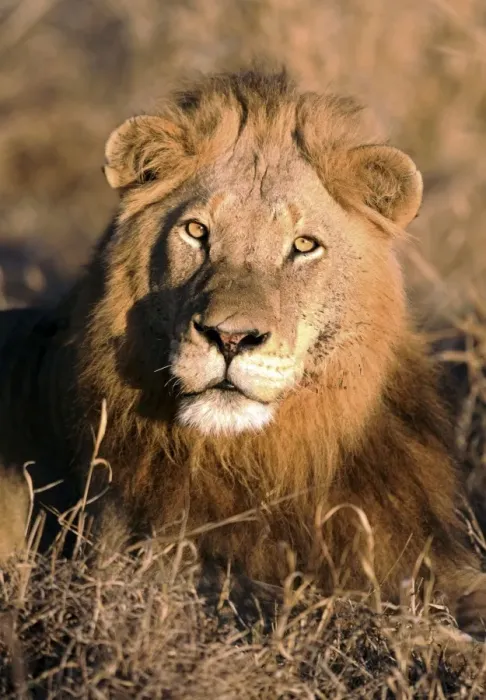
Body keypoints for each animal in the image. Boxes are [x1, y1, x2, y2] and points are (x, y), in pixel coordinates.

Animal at [1, 69, 485, 635]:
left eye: (303, 245)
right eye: (196, 232)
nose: (230, 338)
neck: (268, 461)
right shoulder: (137, 566)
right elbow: (322, 604)